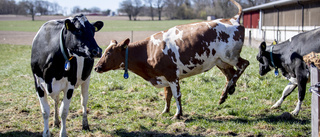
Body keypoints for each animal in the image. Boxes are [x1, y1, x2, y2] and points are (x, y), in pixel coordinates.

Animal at [95, 0, 250, 119]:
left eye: (108, 53)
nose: (96, 67)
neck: (148, 50)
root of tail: (232, 19)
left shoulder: (172, 75)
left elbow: (177, 95)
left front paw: (178, 114)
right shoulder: (164, 77)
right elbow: (167, 95)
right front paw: (165, 111)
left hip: (230, 56)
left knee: (243, 65)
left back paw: (228, 90)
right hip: (220, 61)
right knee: (230, 75)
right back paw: (226, 93)